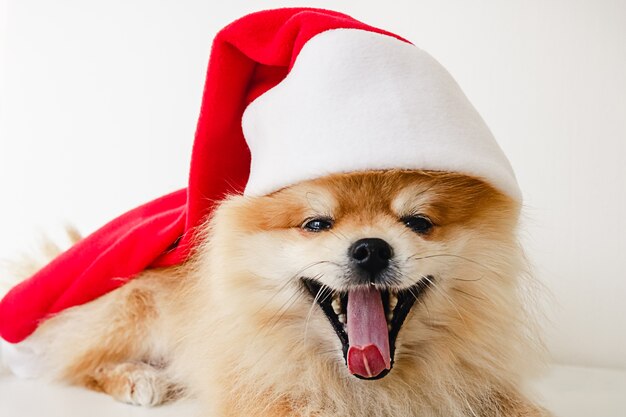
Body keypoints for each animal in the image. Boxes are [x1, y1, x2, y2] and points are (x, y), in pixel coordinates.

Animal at [6, 170, 552, 416]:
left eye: (418, 222)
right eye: (316, 223)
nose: (370, 249)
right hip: (130, 311)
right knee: (75, 362)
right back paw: (138, 379)